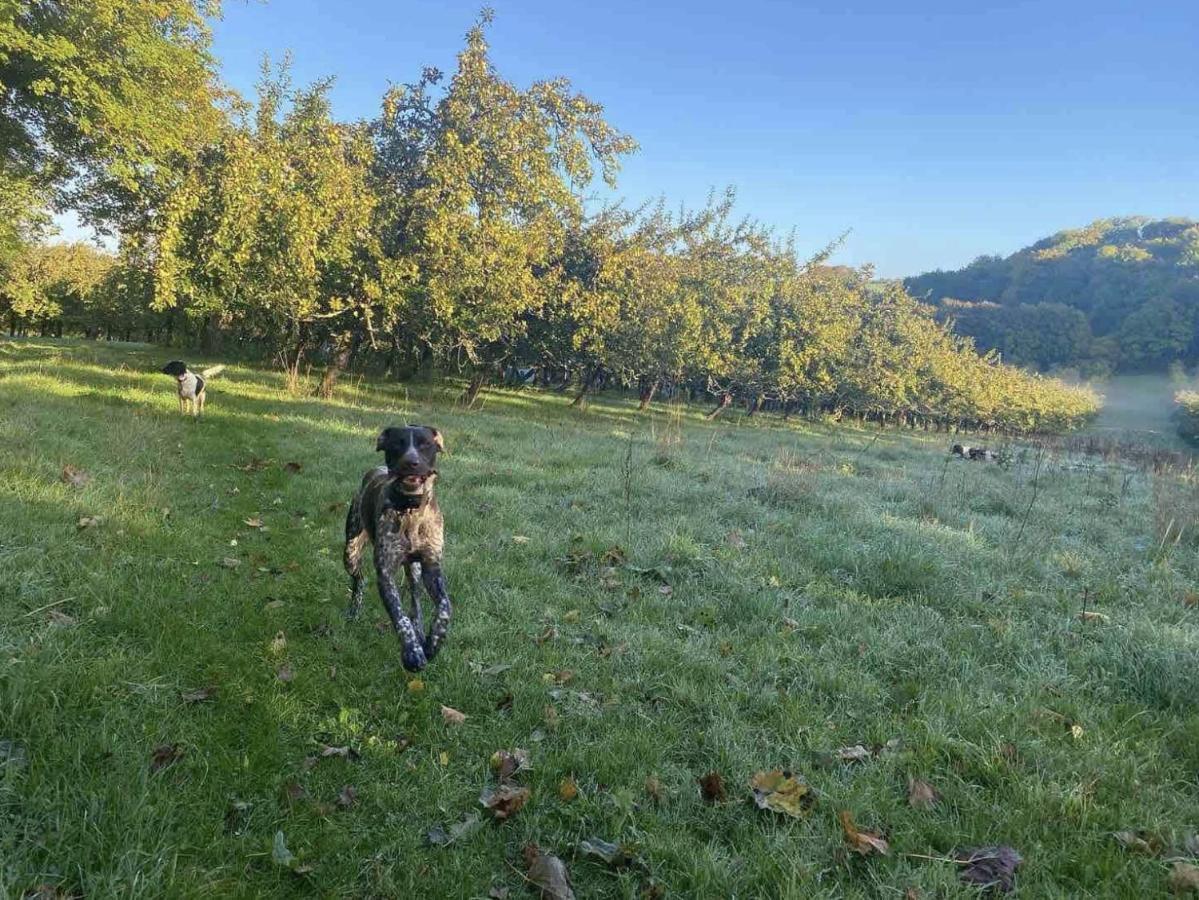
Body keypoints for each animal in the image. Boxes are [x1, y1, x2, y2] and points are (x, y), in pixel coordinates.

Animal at [345, 426, 450, 671]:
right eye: (397, 443)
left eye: (425, 444)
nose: (411, 462)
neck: (411, 509)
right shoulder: (385, 574)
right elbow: (399, 616)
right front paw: (412, 652)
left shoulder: (432, 567)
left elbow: (444, 608)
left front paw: (433, 643)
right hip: (351, 552)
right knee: (359, 579)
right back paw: (355, 609)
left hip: (415, 571)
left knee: (415, 598)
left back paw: (420, 630)